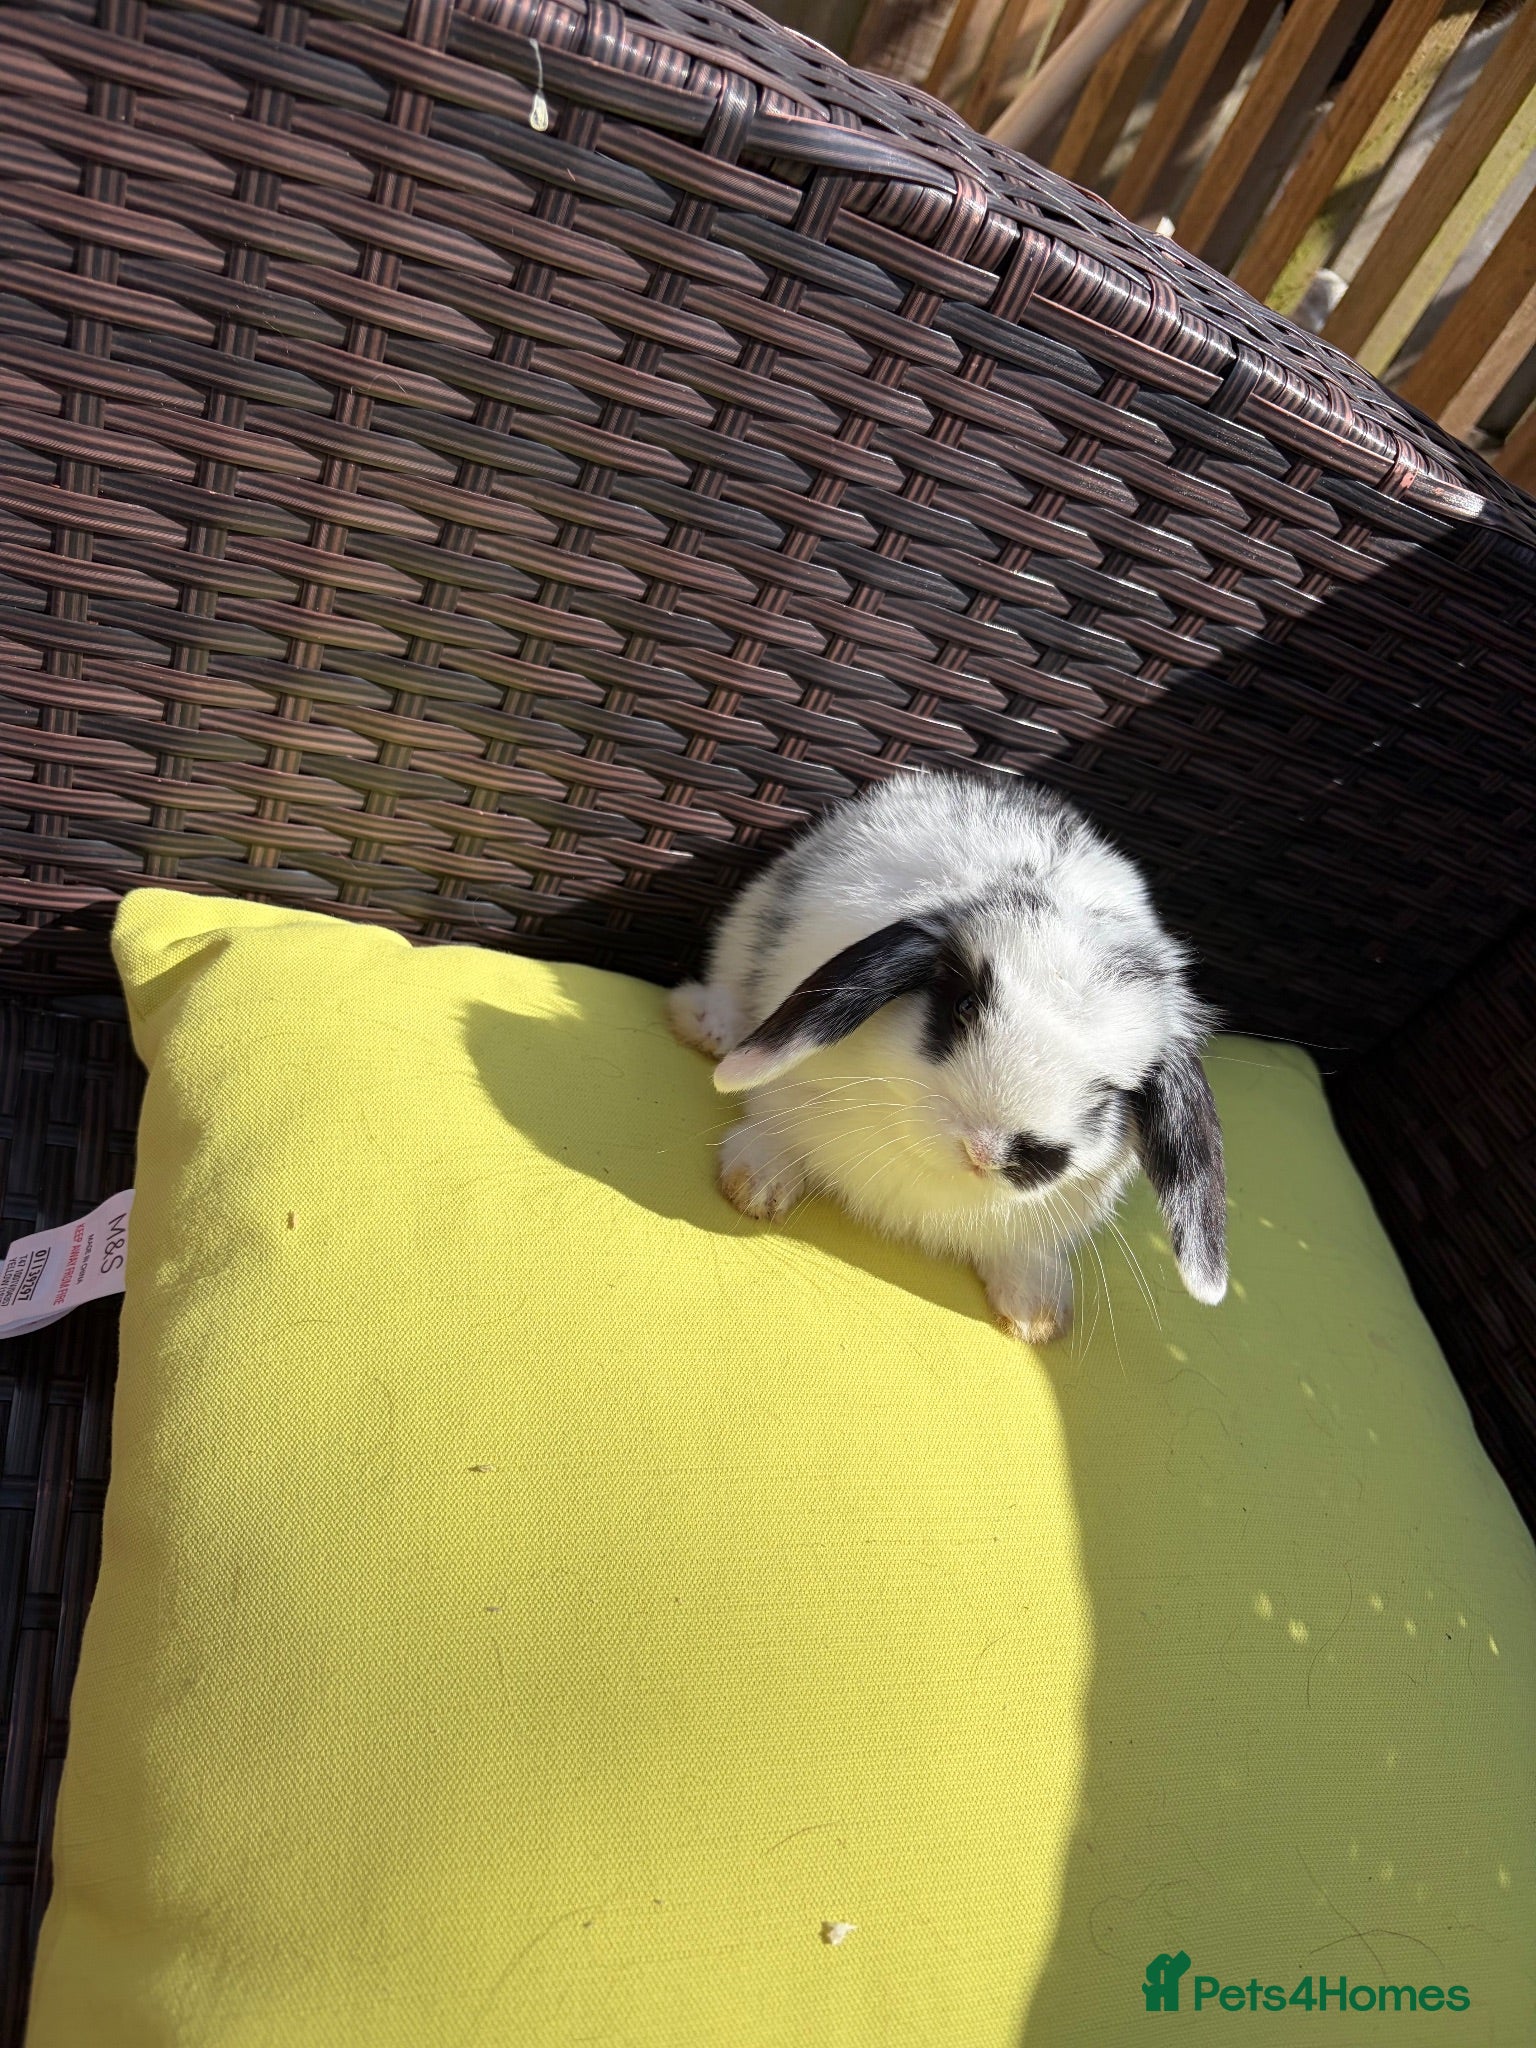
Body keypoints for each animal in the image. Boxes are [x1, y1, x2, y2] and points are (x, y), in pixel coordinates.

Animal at [667, 770, 1226, 1344]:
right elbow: (777, 1124)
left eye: (1110, 1094)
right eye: (963, 1007)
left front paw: (1037, 1315)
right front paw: (757, 1184)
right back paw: (707, 1025)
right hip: (750, 920)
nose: (987, 1150)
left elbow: (1025, 1253)